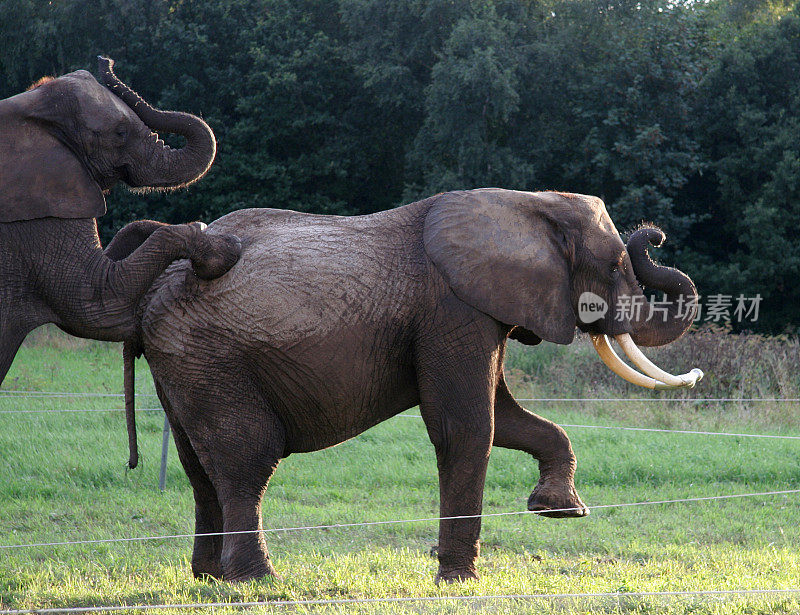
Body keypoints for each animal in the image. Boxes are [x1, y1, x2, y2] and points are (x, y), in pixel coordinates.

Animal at [0, 57, 241, 418]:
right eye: (120, 133)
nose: (105, 62)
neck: (32, 110)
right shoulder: (38, 213)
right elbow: (97, 306)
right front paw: (222, 247)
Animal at [117, 188, 700, 584]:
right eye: (617, 265)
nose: (653, 233)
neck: (527, 204)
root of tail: (149, 298)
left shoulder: (478, 310)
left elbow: (506, 418)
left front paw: (558, 512)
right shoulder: (452, 308)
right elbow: (467, 427)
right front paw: (460, 582)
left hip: (185, 364)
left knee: (199, 468)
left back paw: (209, 579)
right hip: (210, 358)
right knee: (246, 459)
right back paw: (260, 582)